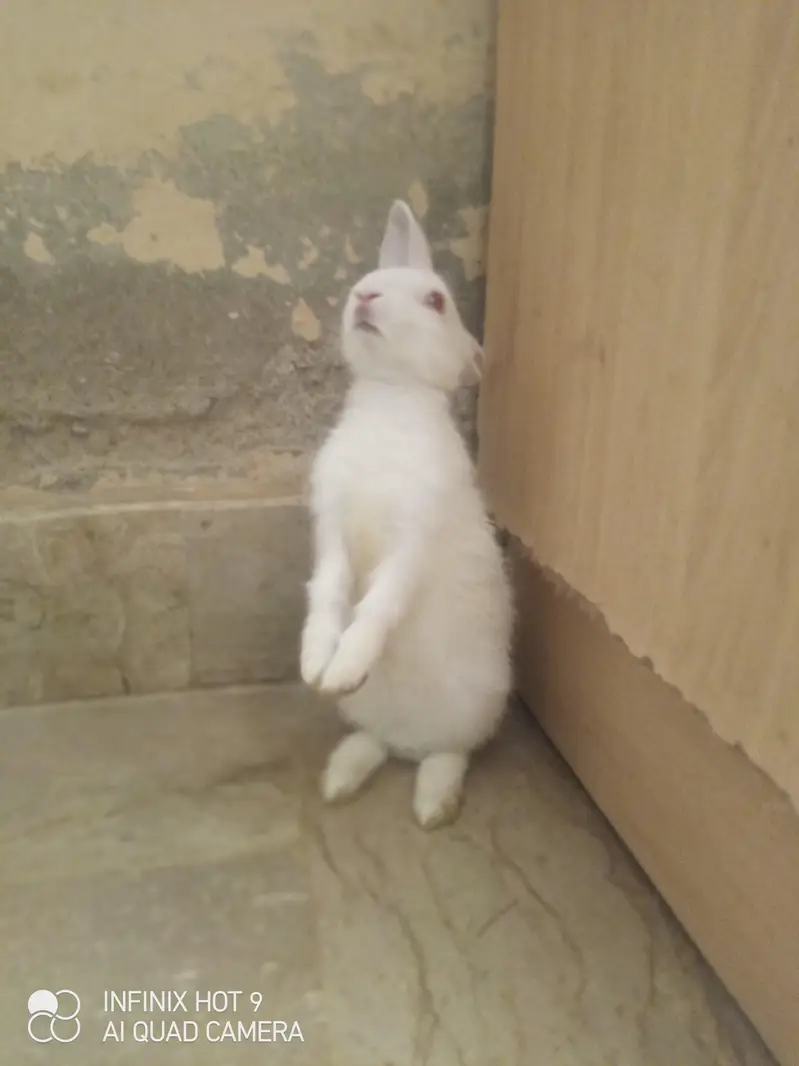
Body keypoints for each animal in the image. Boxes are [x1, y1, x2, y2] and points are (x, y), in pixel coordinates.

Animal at [300, 200, 513, 828]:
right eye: (374, 279)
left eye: (435, 301)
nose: (364, 295)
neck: (391, 395)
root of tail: (409, 741)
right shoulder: (332, 532)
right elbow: (328, 593)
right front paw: (317, 668)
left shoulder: (412, 539)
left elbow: (378, 605)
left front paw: (346, 665)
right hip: (372, 719)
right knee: (375, 744)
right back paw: (340, 780)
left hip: (476, 707)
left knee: (450, 753)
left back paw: (432, 804)